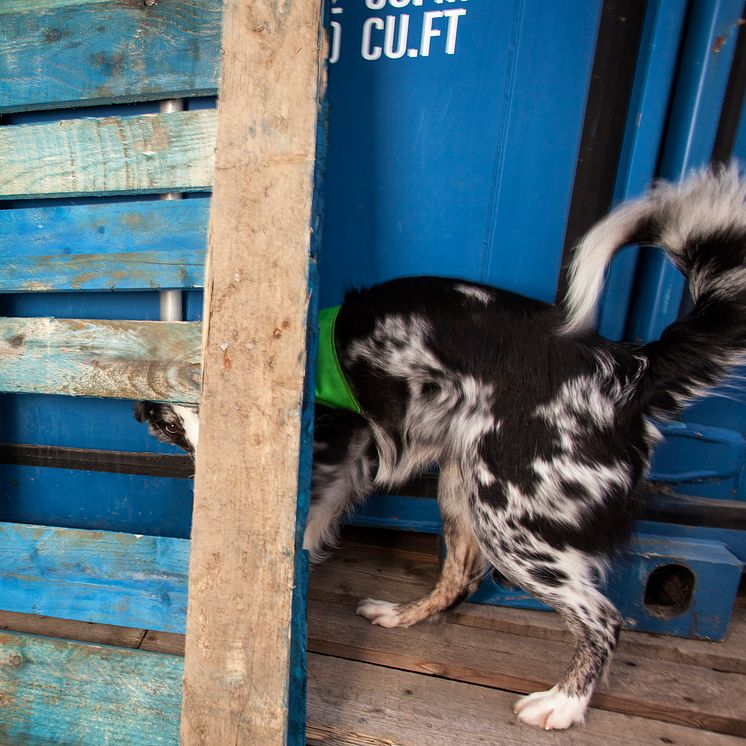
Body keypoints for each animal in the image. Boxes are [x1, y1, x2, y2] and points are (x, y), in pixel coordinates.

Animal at [135, 167, 744, 728]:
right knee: (459, 579)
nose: (142, 410)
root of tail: (626, 368)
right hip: (463, 487)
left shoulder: (326, 462)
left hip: (513, 517)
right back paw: (401, 615)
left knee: (602, 616)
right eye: (169, 413)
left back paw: (564, 704)